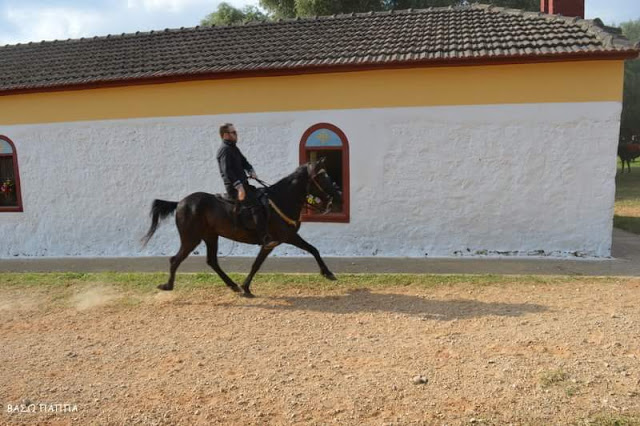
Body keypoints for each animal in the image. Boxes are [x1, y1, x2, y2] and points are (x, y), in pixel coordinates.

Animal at [140, 158, 340, 298]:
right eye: (322, 176)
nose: (338, 193)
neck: (282, 199)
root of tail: (180, 203)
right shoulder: (280, 239)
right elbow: (257, 264)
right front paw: (246, 288)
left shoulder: (285, 238)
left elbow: (312, 249)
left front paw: (328, 273)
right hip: (191, 239)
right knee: (175, 259)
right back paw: (168, 286)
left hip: (210, 236)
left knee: (212, 261)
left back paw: (232, 285)